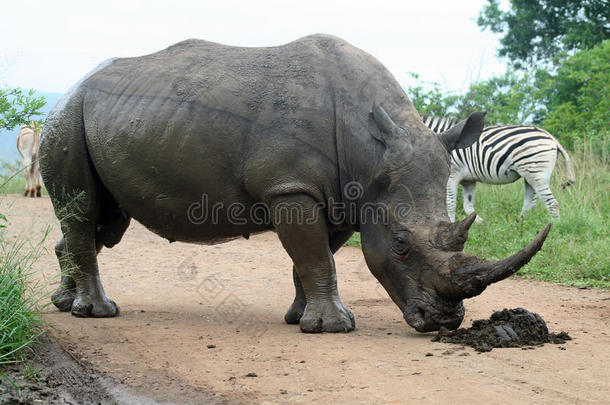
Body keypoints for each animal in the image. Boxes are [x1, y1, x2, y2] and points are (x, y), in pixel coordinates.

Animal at [420, 115, 572, 223]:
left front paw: (449, 225)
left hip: (537, 174)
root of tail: (551, 137)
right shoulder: (469, 180)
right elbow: (468, 207)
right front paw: (481, 224)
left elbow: (450, 204)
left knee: (552, 204)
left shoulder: (452, 175)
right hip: (530, 176)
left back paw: (554, 228)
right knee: (530, 204)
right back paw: (519, 226)